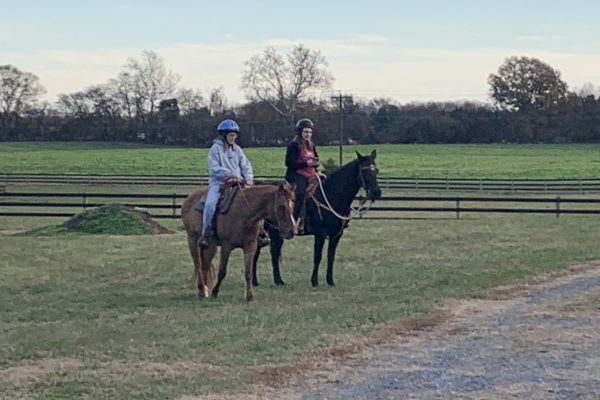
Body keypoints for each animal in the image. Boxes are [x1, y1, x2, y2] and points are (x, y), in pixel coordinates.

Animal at [253, 150, 380, 288]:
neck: (331, 195)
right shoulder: (320, 233)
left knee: (273, 252)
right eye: (364, 171)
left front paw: (330, 281)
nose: (377, 192)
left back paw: (276, 281)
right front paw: (314, 281)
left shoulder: (337, 234)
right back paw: (258, 281)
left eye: (376, 170)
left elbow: (331, 257)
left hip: (275, 233)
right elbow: (317, 256)